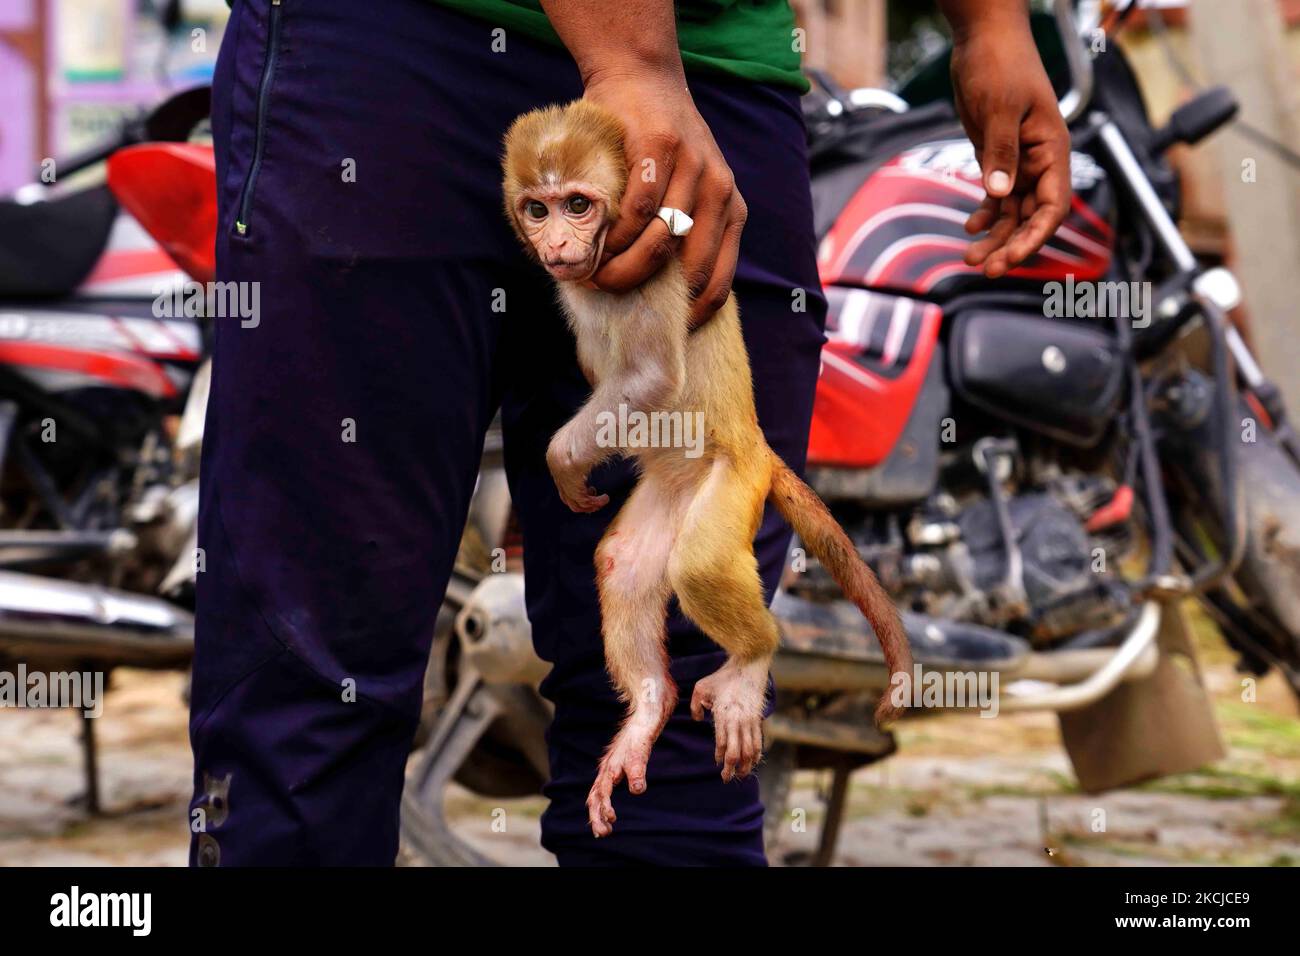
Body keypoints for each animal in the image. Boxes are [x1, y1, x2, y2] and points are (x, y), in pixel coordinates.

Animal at [501, 98, 909, 837]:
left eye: (577, 204)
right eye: (537, 209)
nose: (557, 245)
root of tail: (757, 444)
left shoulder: (652, 270)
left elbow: (653, 378)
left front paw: (562, 459)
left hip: (731, 481)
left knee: (697, 564)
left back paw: (751, 661)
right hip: (671, 490)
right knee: (625, 562)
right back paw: (648, 707)